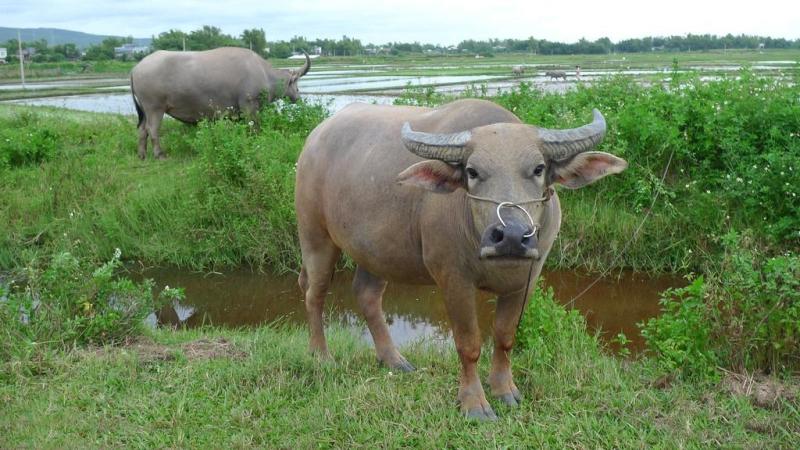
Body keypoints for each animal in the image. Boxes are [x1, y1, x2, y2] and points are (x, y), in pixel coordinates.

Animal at [130, 46, 308, 159]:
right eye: (296, 82)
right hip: (154, 108)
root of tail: (136, 68)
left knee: (142, 130)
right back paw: (159, 154)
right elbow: (255, 128)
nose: (298, 96)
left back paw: (141, 154)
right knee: (152, 129)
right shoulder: (249, 106)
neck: (264, 74)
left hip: (145, 110)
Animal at [296, 98, 628, 418]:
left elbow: (505, 336)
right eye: (472, 172)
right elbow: (469, 344)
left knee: (367, 296)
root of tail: (314, 140)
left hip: (375, 254)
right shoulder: (454, 279)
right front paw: (474, 404)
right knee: (315, 294)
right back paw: (321, 356)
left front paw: (505, 390)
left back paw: (394, 360)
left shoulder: (526, 279)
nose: (510, 235)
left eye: (537, 169)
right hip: (315, 237)